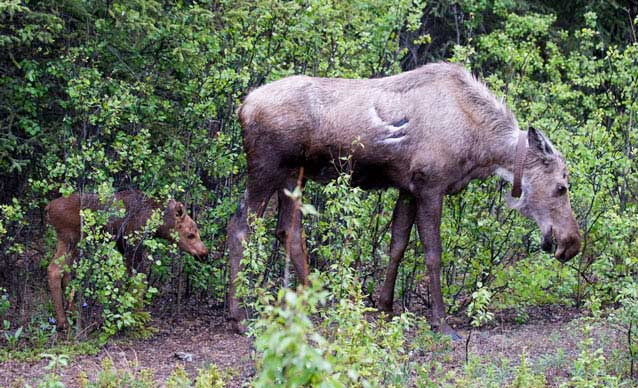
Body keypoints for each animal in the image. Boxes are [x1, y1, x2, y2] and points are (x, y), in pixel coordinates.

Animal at [46, 189, 209, 328]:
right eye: (190, 235)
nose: (204, 254)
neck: (157, 223)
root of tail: (48, 209)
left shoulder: (122, 246)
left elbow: (128, 280)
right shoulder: (132, 244)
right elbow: (139, 281)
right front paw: (138, 315)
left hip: (70, 243)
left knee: (65, 273)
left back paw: (74, 315)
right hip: (70, 239)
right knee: (54, 270)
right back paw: (63, 322)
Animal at [228, 61, 584, 336]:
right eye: (561, 187)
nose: (572, 242)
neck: (480, 147)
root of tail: (242, 108)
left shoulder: (408, 188)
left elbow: (397, 243)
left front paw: (384, 305)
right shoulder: (430, 186)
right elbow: (432, 253)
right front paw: (441, 322)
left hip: (294, 175)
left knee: (288, 231)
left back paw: (317, 305)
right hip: (267, 168)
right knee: (240, 227)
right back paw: (239, 316)